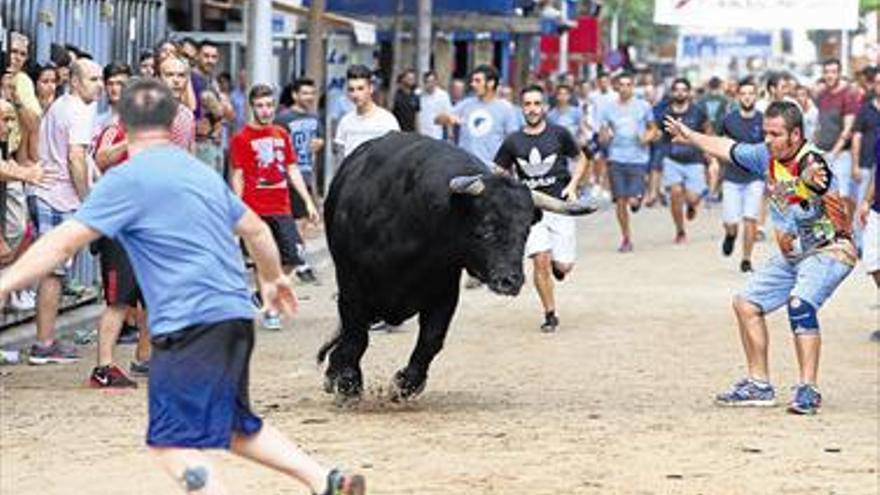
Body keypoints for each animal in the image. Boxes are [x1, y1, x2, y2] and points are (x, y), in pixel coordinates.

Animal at [316, 131, 592, 400]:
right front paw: (348, 382)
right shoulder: (352, 287)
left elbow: (431, 340)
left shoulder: (444, 291)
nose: (510, 281)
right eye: (486, 228)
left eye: (525, 231)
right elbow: (356, 337)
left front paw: (406, 384)